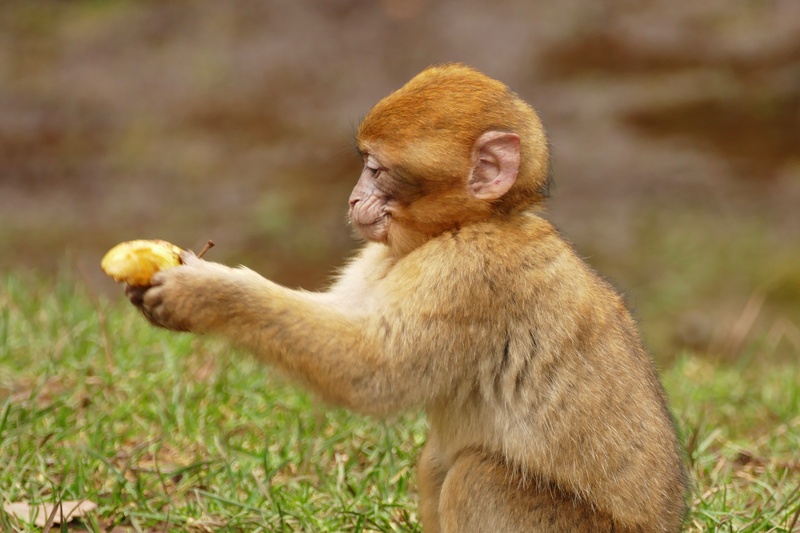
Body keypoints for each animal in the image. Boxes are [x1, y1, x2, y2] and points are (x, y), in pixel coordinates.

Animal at [127, 63, 689, 532]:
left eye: (376, 170)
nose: (354, 197)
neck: (475, 222)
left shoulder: (470, 273)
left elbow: (372, 373)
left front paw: (206, 292)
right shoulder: (386, 256)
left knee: (474, 477)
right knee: (436, 466)